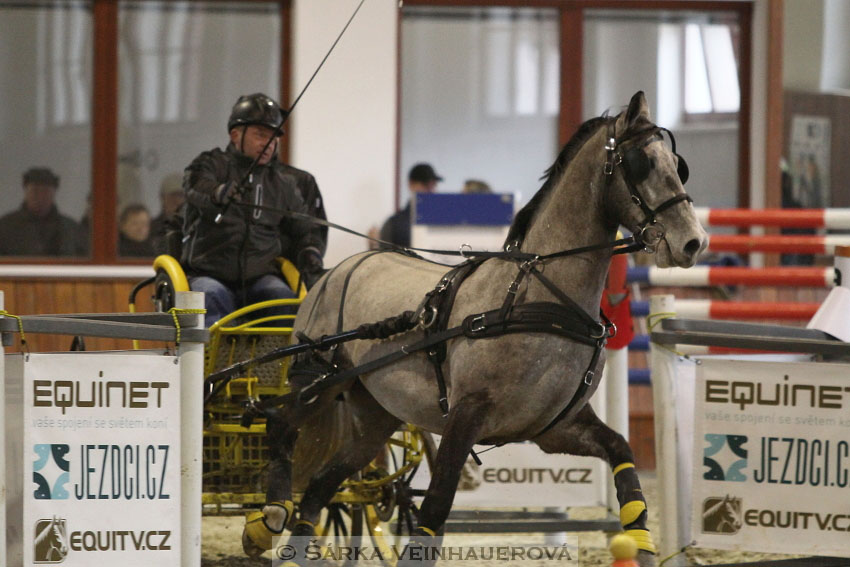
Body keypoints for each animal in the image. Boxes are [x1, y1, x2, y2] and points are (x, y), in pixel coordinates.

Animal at [247, 91, 708, 564]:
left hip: (374, 416)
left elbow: (622, 454)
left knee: (322, 486)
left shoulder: (556, 427)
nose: (694, 241)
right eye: (642, 163)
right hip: (318, 382)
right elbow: (434, 511)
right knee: (281, 425)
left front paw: (642, 543)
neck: (539, 297)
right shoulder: (465, 416)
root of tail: (334, 271)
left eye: (677, 164)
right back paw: (267, 519)